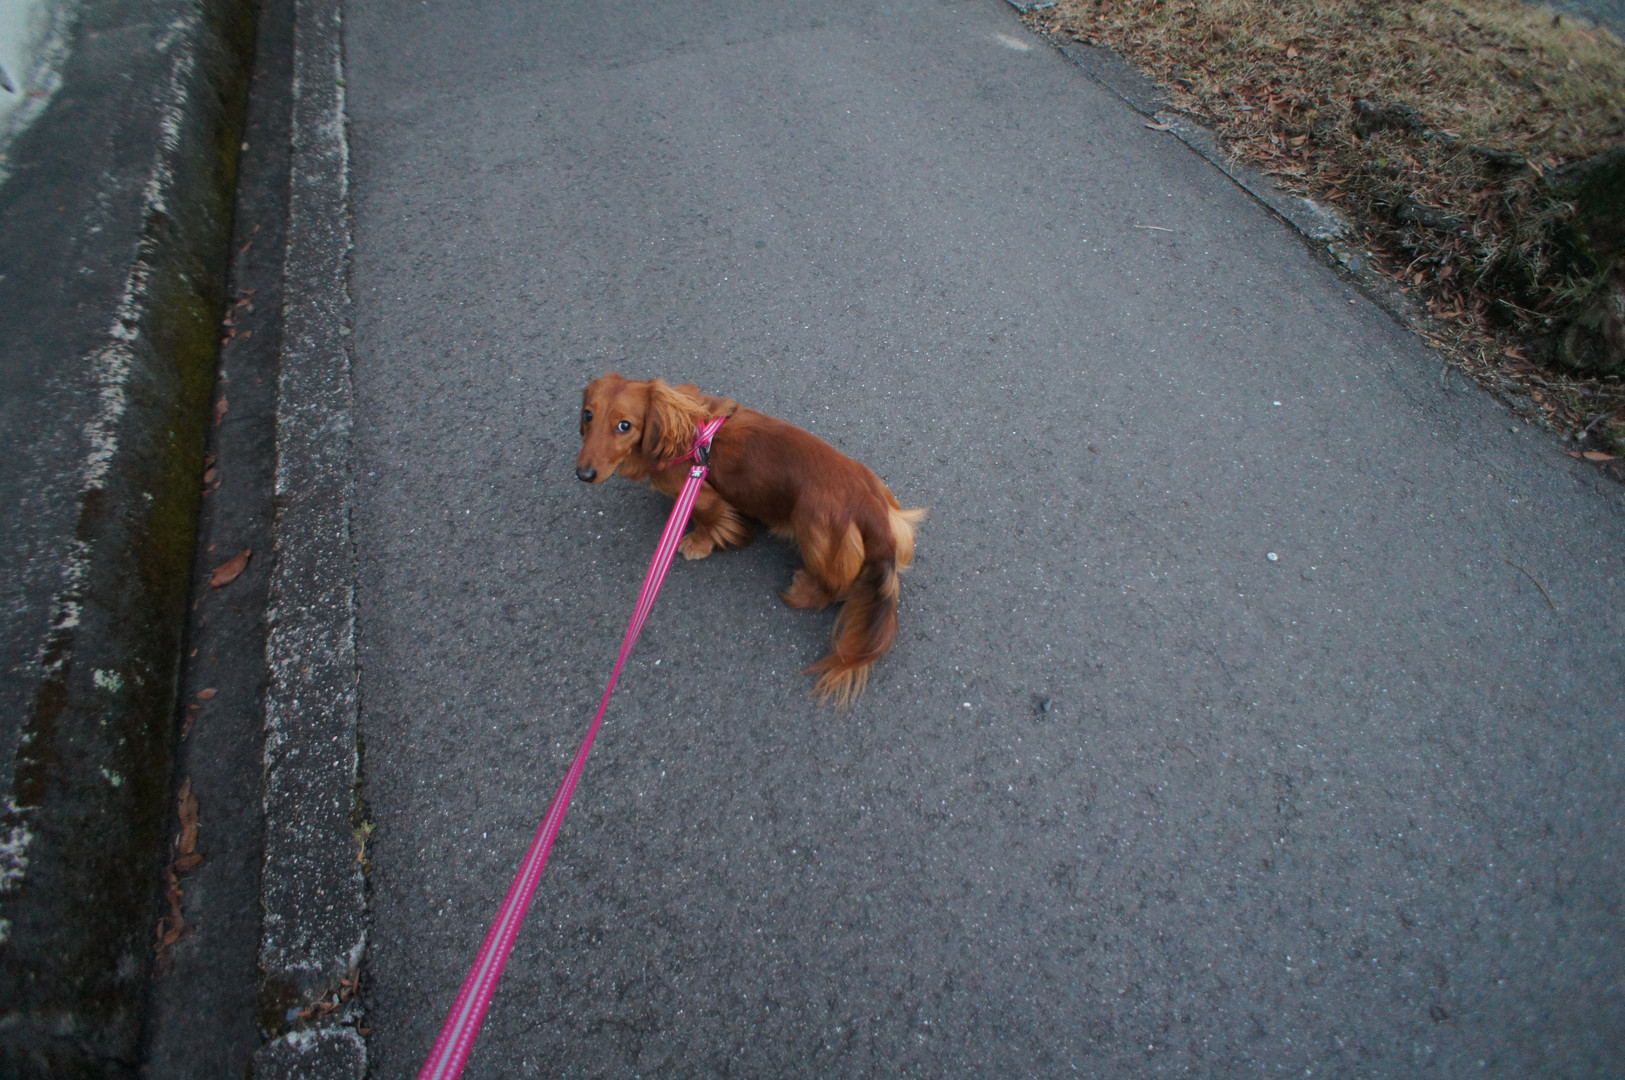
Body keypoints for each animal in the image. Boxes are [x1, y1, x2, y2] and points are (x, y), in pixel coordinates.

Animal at [575, 373, 926, 706]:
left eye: (625, 426)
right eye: (588, 415)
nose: (583, 474)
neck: (691, 436)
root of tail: (874, 516)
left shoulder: (700, 492)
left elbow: (709, 521)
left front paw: (697, 544)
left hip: (815, 532)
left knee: (834, 587)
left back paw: (804, 587)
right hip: (897, 519)